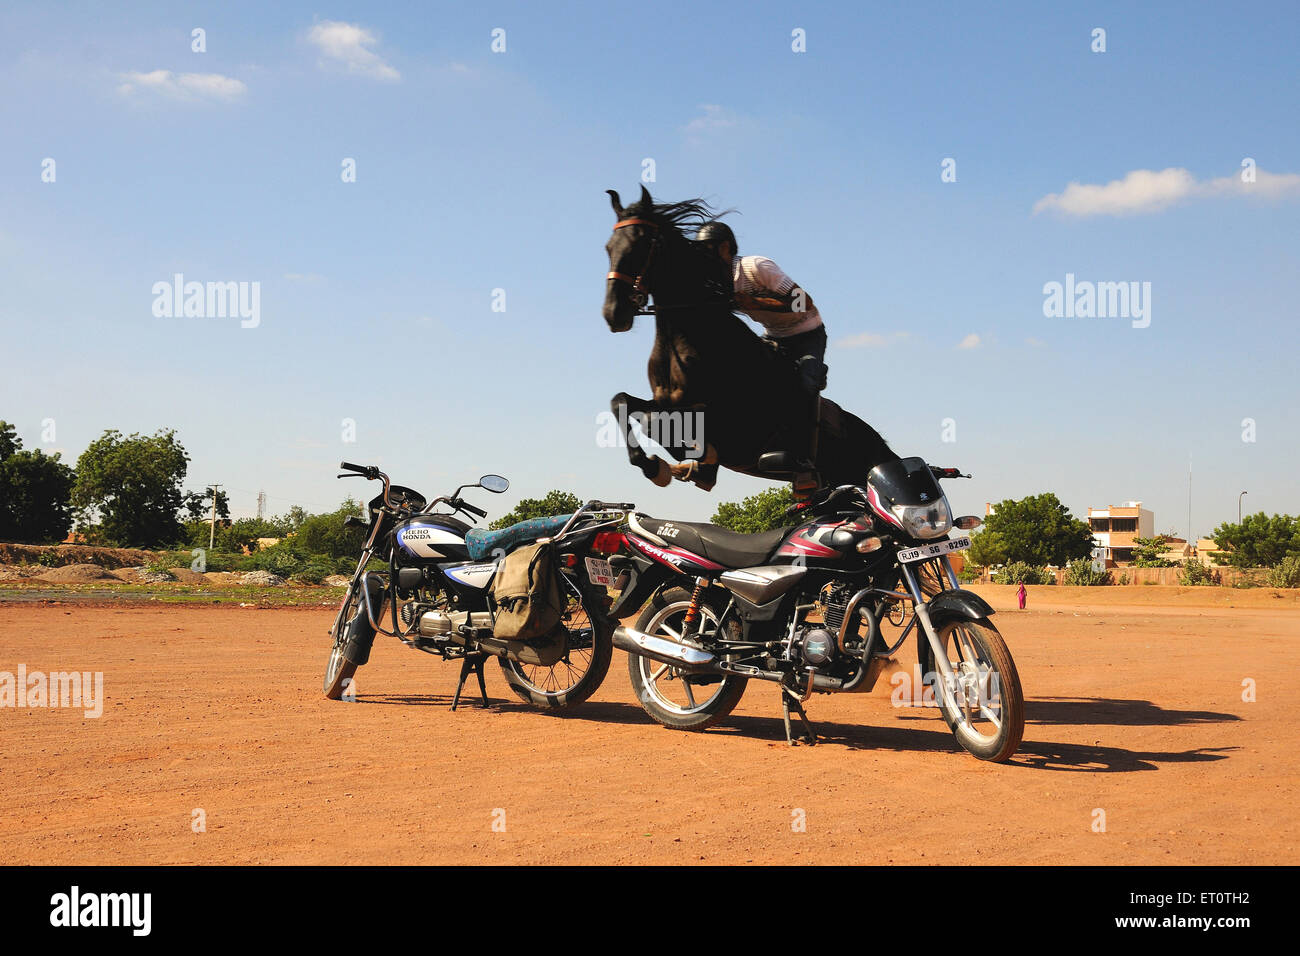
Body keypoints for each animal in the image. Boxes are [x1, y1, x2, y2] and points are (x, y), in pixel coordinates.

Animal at [601, 185, 899, 493]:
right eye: (609, 248)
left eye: (641, 244)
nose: (614, 314)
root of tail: (880, 444)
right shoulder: (664, 402)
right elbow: (622, 402)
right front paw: (655, 465)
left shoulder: (723, 418)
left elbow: (653, 422)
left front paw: (679, 458)